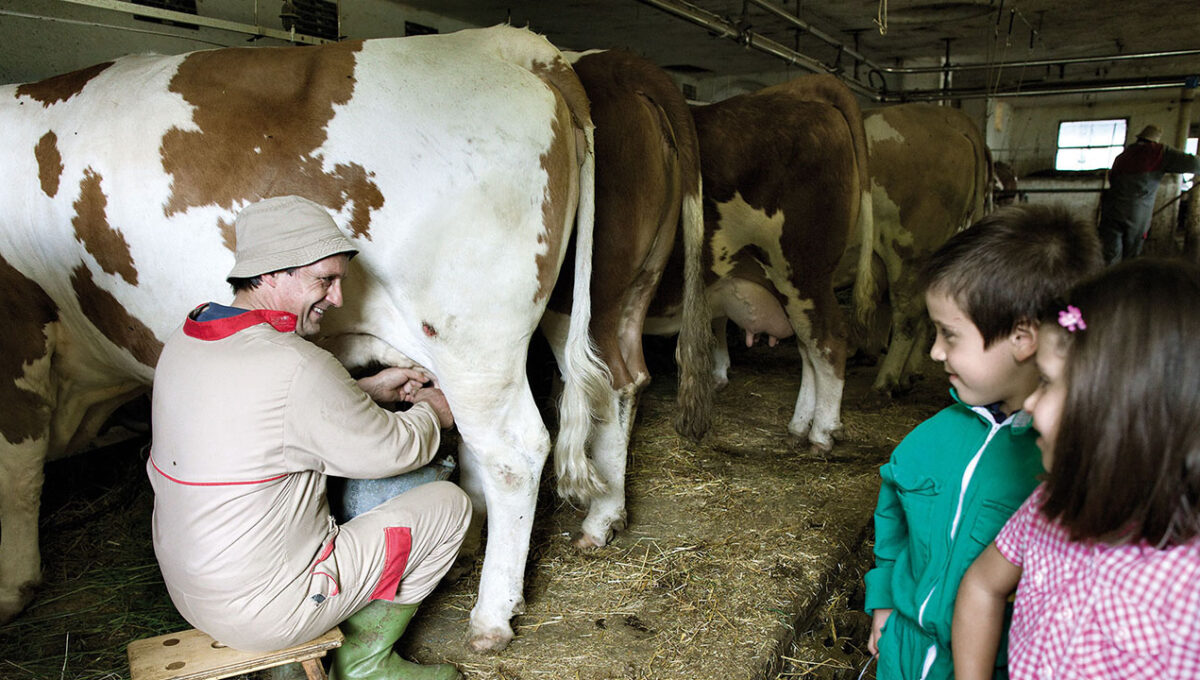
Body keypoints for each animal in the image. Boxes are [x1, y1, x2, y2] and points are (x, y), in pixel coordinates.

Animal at [0, 25, 609, 652]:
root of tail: (499, 40)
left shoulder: (17, 334)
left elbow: (15, 472)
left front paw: (12, 586)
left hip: (473, 341)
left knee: (513, 452)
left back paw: (492, 615)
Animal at [648, 73, 873, 453]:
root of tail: (798, 89)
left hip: (802, 271)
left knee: (828, 339)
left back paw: (822, 433)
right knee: (807, 346)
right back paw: (799, 425)